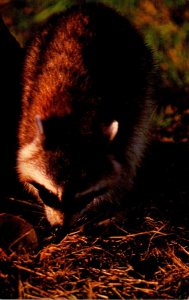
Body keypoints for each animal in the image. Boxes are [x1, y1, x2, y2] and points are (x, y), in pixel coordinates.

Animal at [16, 2, 155, 229]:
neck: (76, 123)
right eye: (50, 194)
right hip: (36, 49)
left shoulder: (125, 128)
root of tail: (94, 7)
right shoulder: (27, 122)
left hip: (143, 70)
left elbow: (125, 164)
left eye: (83, 197)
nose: (60, 229)